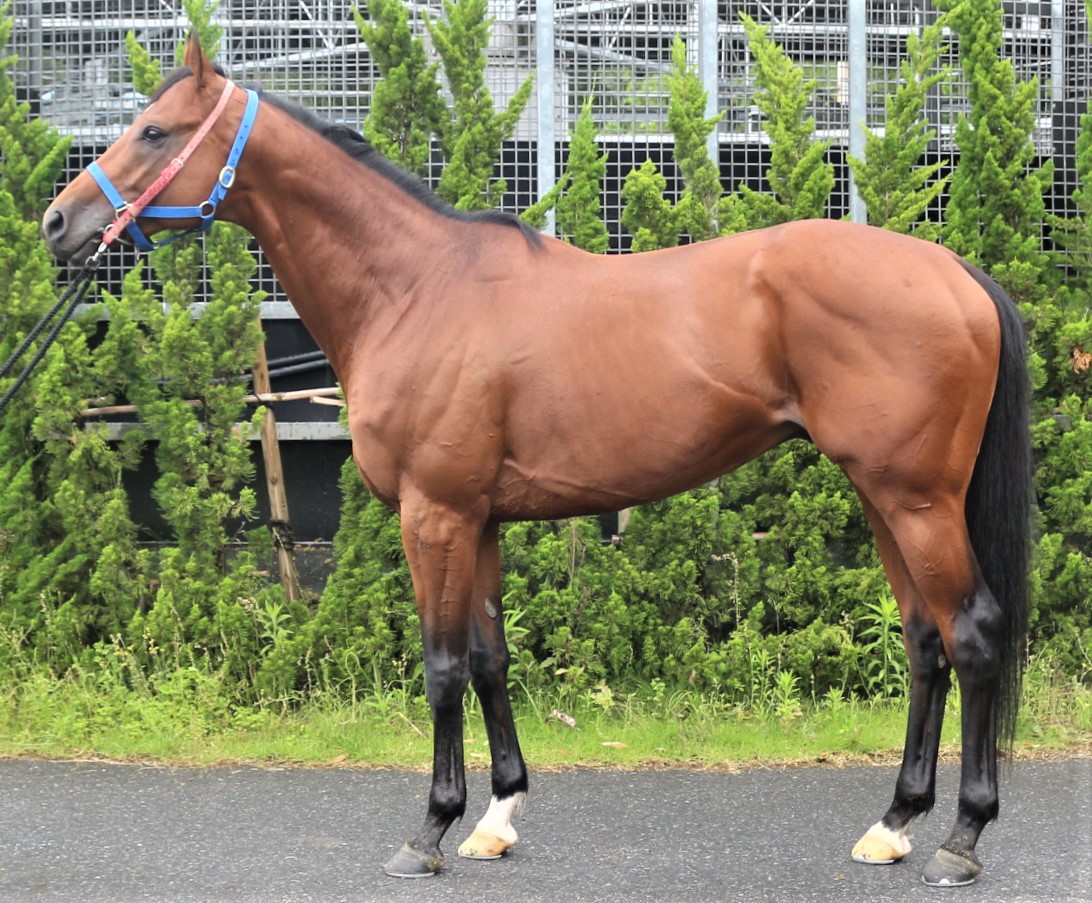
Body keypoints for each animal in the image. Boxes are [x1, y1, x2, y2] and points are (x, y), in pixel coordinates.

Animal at [41, 36, 1032, 888]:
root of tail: (956, 272)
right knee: (925, 642)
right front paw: (496, 818)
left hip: (915, 499)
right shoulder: (476, 518)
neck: (414, 288)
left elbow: (440, 665)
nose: (58, 221)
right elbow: (489, 656)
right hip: (882, 495)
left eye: (155, 131)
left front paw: (429, 830)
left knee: (973, 634)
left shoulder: (433, 514)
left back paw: (961, 839)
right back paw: (894, 825)